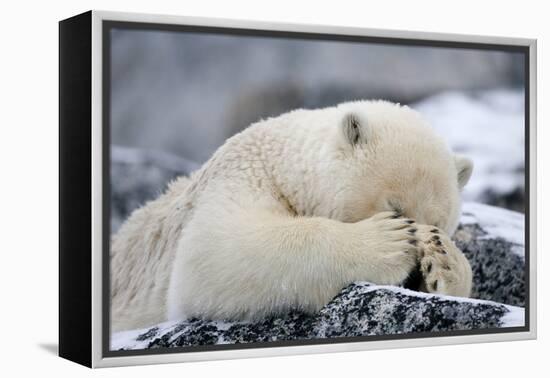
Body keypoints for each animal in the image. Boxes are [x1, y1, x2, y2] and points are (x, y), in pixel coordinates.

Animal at [111, 99, 474, 330]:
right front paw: (389, 241)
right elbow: (214, 252)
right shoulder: (239, 177)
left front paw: (445, 261)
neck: (279, 162)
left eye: (439, 222)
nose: (414, 276)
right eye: (395, 208)